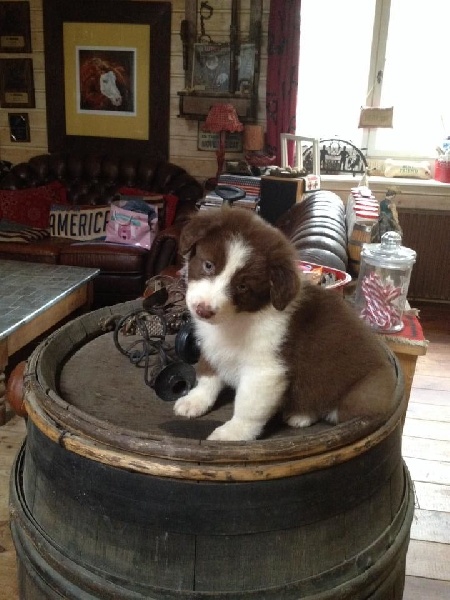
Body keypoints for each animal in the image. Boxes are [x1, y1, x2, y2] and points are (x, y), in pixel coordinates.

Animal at [174, 207, 397, 442]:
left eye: (243, 286)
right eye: (208, 265)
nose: (203, 310)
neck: (237, 319)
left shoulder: (265, 370)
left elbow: (248, 407)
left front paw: (233, 433)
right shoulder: (212, 346)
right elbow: (208, 375)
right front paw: (194, 400)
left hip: (364, 393)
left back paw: (302, 414)